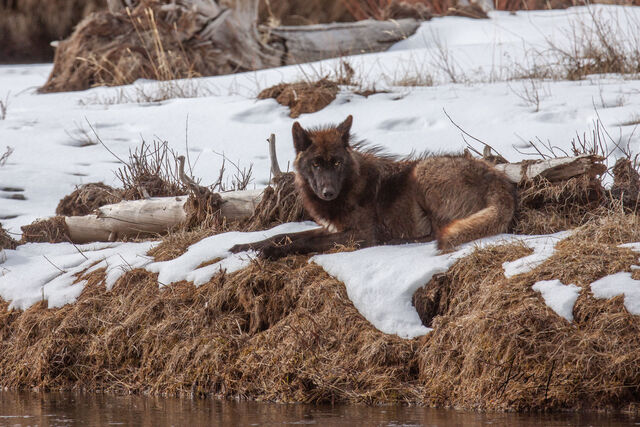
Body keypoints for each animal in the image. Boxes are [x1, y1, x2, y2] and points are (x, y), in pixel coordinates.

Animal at [230, 115, 516, 260]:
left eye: (336, 162)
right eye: (316, 164)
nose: (327, 192)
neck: (349, 186)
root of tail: (498, 179)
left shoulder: (360, 234)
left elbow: (306, 242)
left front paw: (271, 252)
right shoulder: (332, 227)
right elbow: (284, 235)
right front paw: (244, 246)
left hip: (422, 172)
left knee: (434, 233)